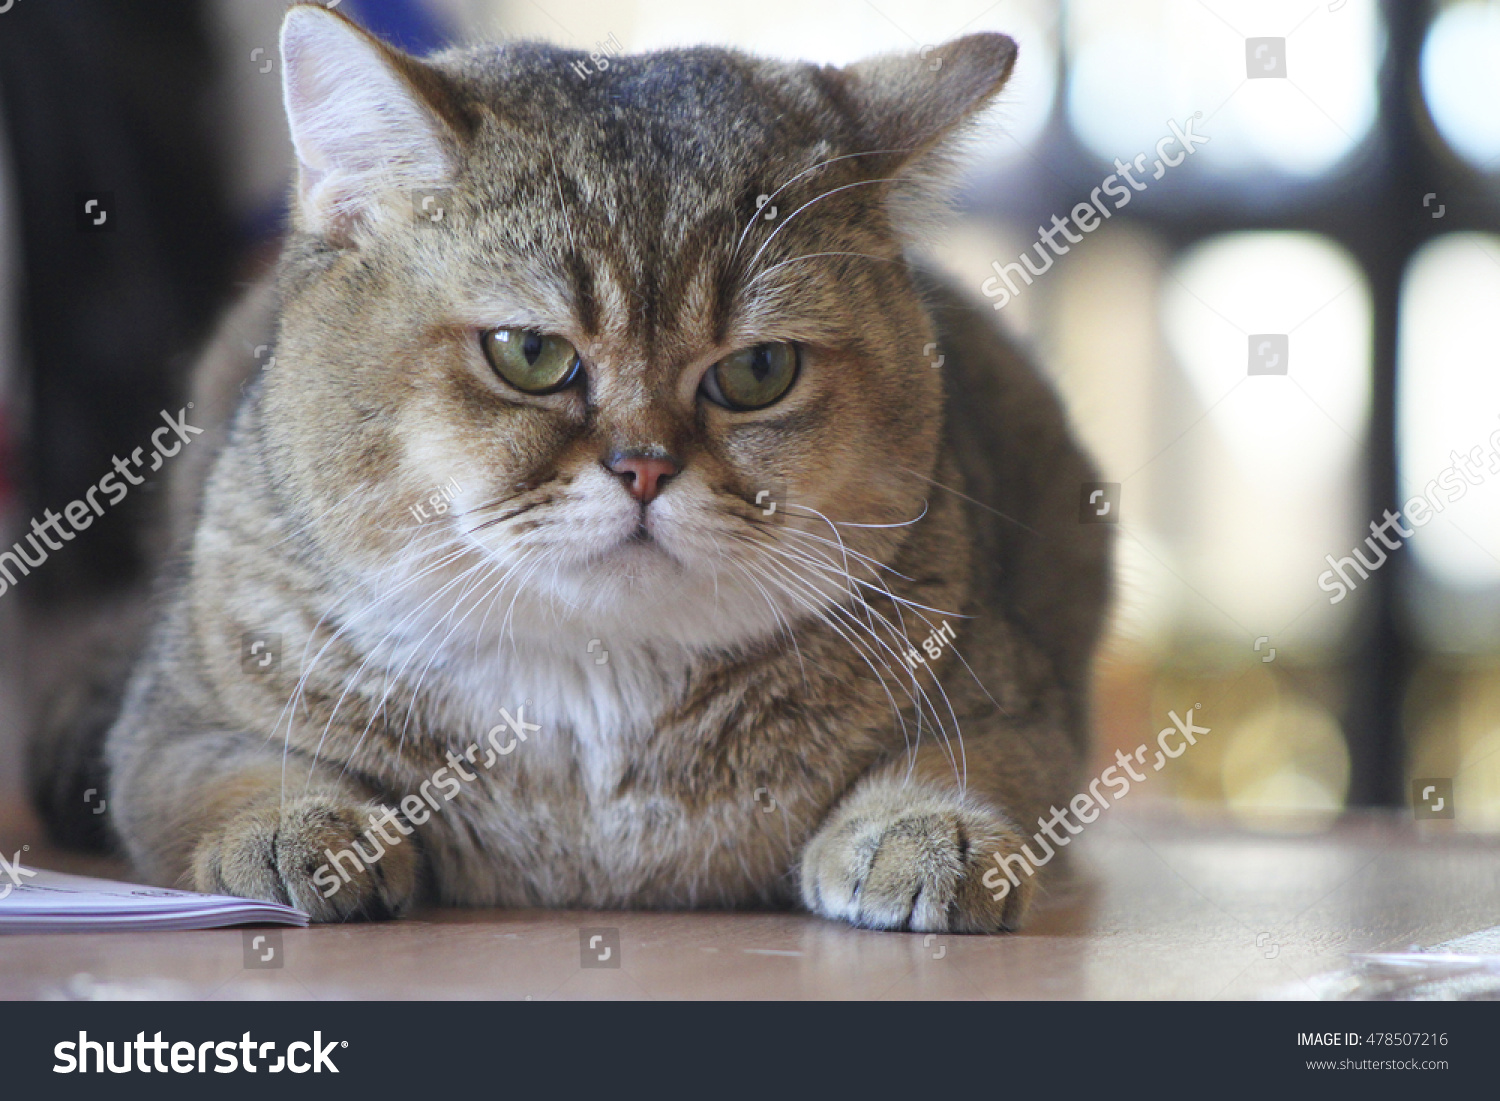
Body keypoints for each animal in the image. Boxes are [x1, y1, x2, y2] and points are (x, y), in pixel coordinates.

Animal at [35, 4, 1116, 936]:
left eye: (759, 372)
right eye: (529, 353)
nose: (643, 469)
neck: (595, 689)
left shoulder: (1021, 705)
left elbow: (969, 765)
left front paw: (924, 827)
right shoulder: (173, 723)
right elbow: (233, 772)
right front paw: (293, 821)